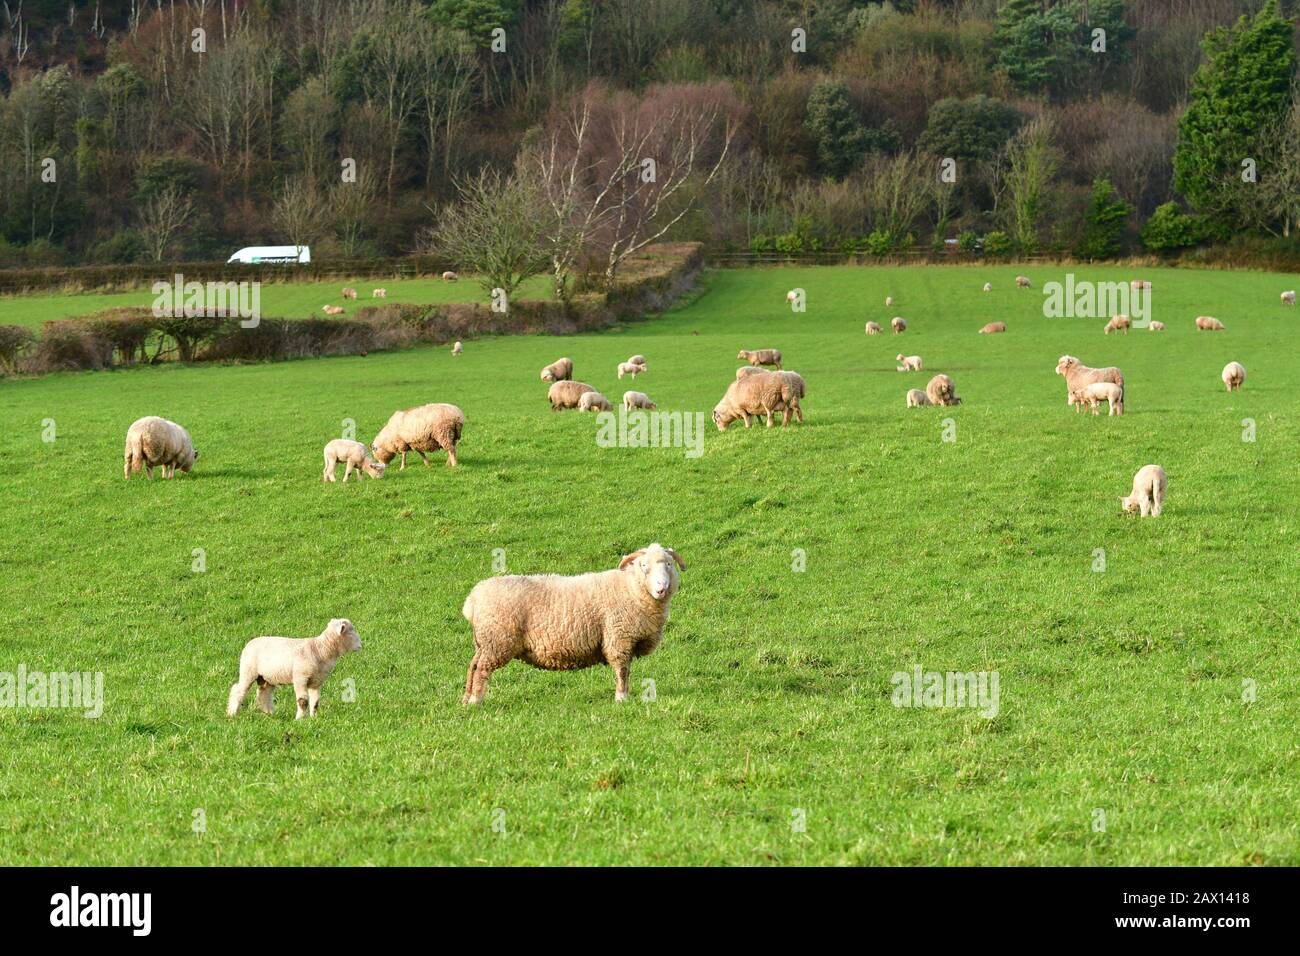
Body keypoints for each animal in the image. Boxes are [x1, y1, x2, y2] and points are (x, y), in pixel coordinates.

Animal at [226, 621, 361, 717]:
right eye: (351, 631)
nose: (361, 644)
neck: (321, 649)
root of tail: (249, 643)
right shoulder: (300, 677)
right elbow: (303, 701)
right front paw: (299, 720)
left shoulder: (316, 681)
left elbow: (315, 702)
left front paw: (314, 718)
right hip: (248, 671)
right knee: (238, 690)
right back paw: (232, 713)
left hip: (266, 678)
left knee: (263, 694)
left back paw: (270, 714)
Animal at [465, 541, 691, 707]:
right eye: (644, 566)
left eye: (669, 564)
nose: (662, 588)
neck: (631, 589)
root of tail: (473, 598)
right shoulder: (619, 639)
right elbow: (622, 671)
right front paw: (621, 698)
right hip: (497, 641)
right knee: (482, 669)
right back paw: (476, 701)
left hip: (483, 643)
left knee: (473, 666)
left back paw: (466, 700)